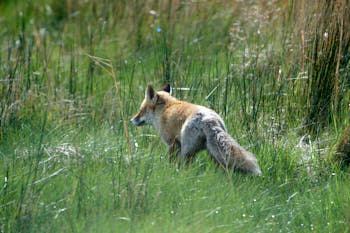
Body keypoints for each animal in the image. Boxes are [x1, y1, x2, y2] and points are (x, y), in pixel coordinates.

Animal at [130, 83, 262, 175]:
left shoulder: (173, 144)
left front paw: (169, 172)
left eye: (140, 110)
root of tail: (209, 119)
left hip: (188, 151)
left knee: (185, 168)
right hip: (213, 152)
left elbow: (171, 163)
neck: (165, 108)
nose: (131, 120)